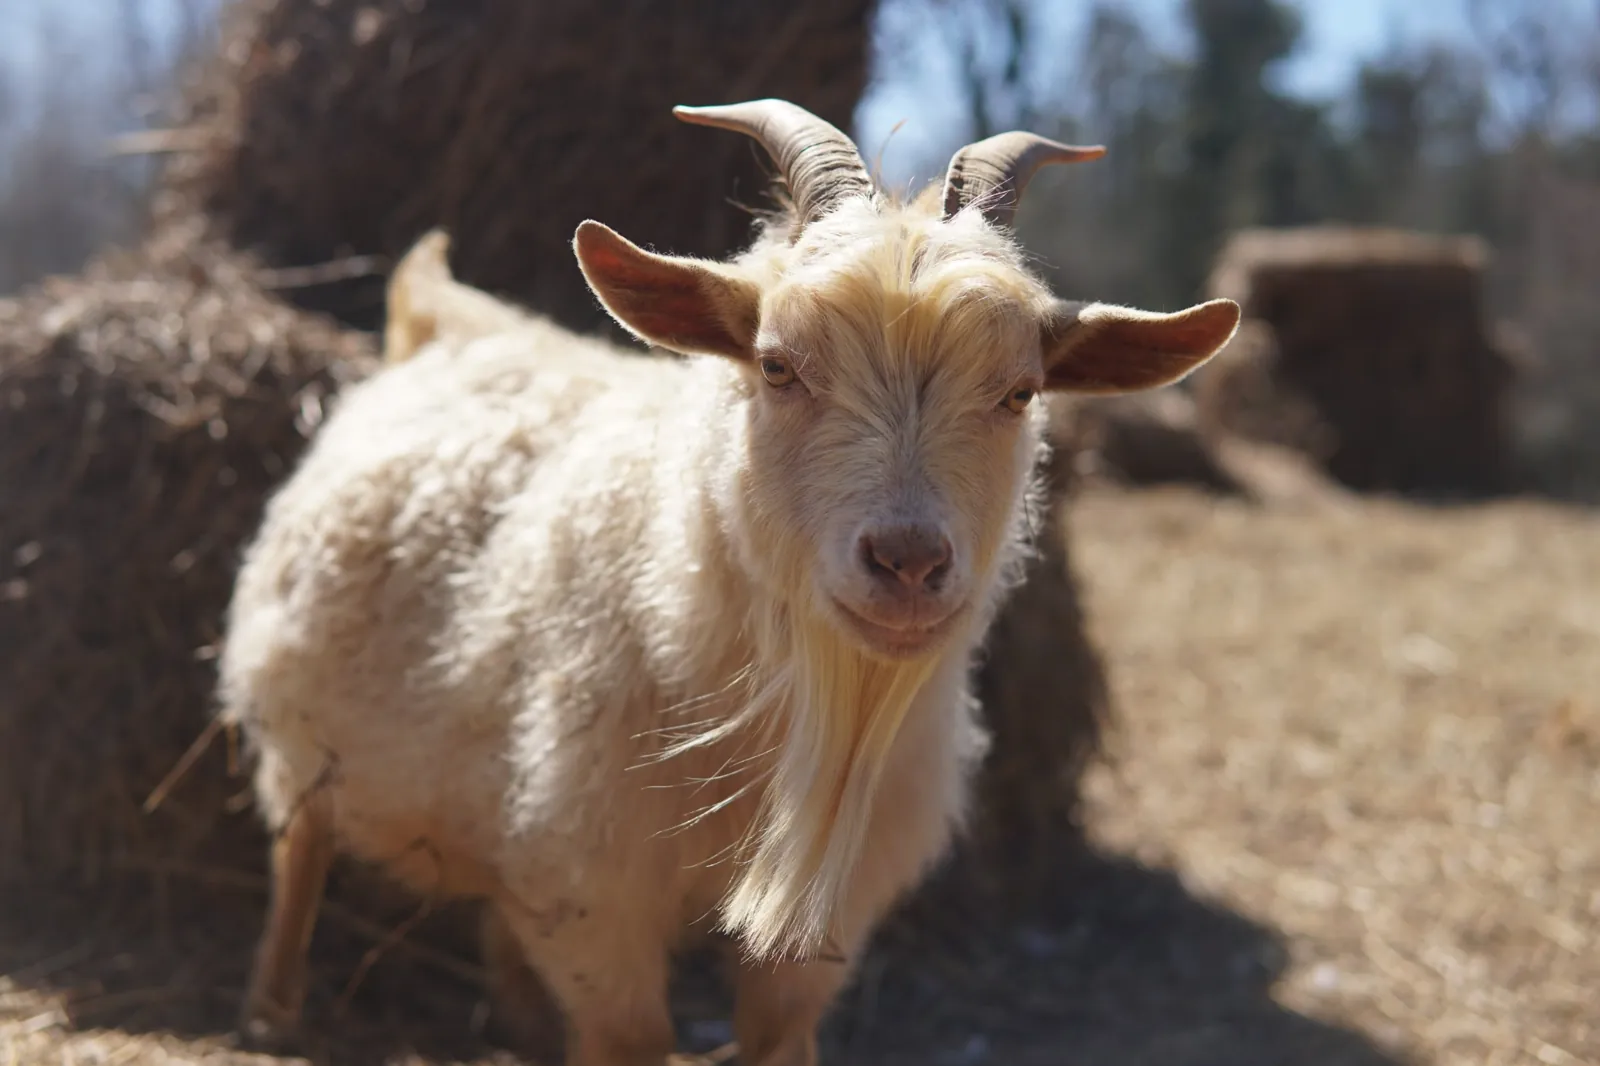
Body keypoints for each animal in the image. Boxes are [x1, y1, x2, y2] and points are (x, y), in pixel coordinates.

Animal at [219, 98, 1240, 1066]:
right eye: (777, 365)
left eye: (1020, 392)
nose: (908, 561)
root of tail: (439, 320)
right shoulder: (594, 891)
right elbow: (631, 1039)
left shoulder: (817, 907)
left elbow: (779, 1034)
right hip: (298, 731)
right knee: (299, 848)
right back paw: (271, 1014)